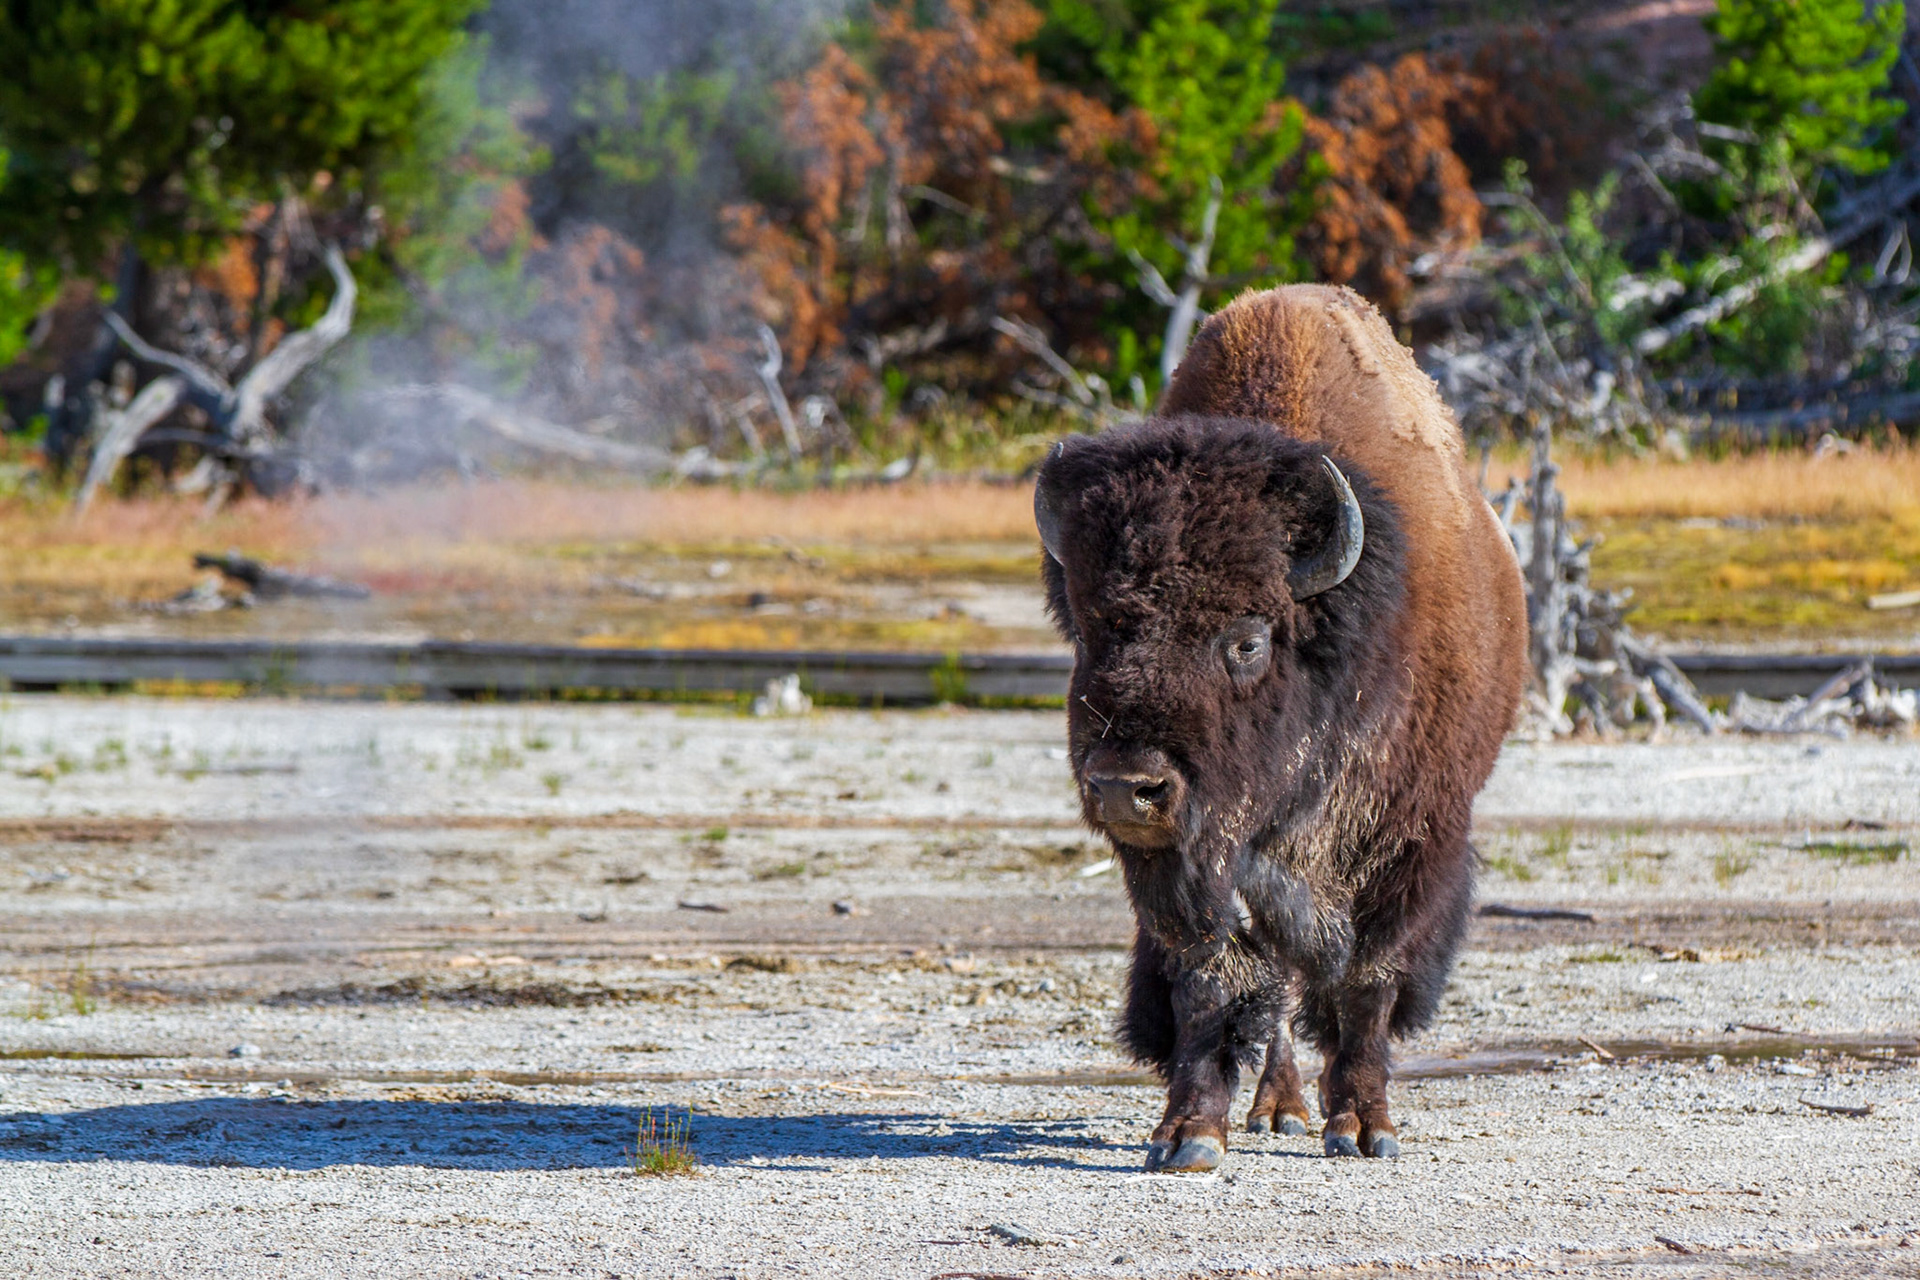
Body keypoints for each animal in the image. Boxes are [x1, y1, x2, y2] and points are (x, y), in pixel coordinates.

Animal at [1034, 285, 1528, 1171]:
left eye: (1247, 641)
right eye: (1091, 633)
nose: (1128, 788)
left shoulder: (1406, 843)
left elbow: (1367, 981)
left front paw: (1365, 1128)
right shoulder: (1195, 869)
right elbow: (1215, 982)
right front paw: (1189, 1135)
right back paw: (1280, 1107)